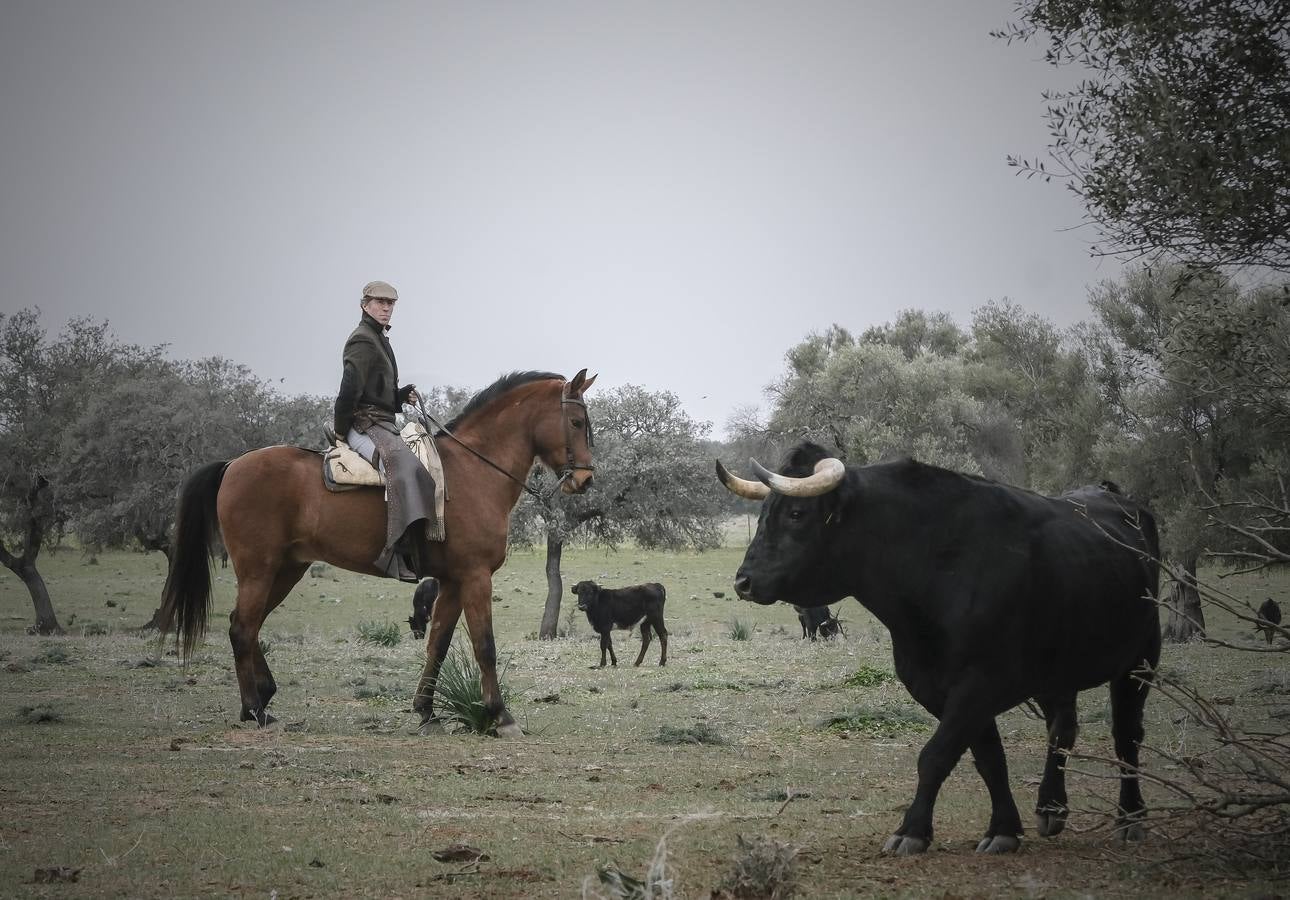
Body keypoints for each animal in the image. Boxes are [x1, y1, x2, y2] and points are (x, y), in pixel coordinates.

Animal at [158, 368, 595, 732]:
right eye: (577, 422)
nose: (587, 480)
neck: (474, 471)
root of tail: (233, 465)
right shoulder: (475, 577)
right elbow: (484, 646)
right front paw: (501, 716)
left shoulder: (453, 582)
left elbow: (437, 645)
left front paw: (425, 712)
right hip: (258, 570)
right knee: (242, 628)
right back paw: (254, 709)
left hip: (285, 570)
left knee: (248, 626)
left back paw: (262, 697)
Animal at [722, 440, 1166, 856]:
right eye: (765, 512)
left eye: (797, 514)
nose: (744, 581)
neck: (937, 568)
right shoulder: (936, 687)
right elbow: (988, 758)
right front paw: (1004, 829)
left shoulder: (981, 684)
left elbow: (935, 755)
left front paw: (912, 830)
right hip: (1057, 671)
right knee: (1062, 729)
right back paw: (1050, 808)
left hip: (1140, 659)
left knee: (1126, 736)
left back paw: (1131, 818)